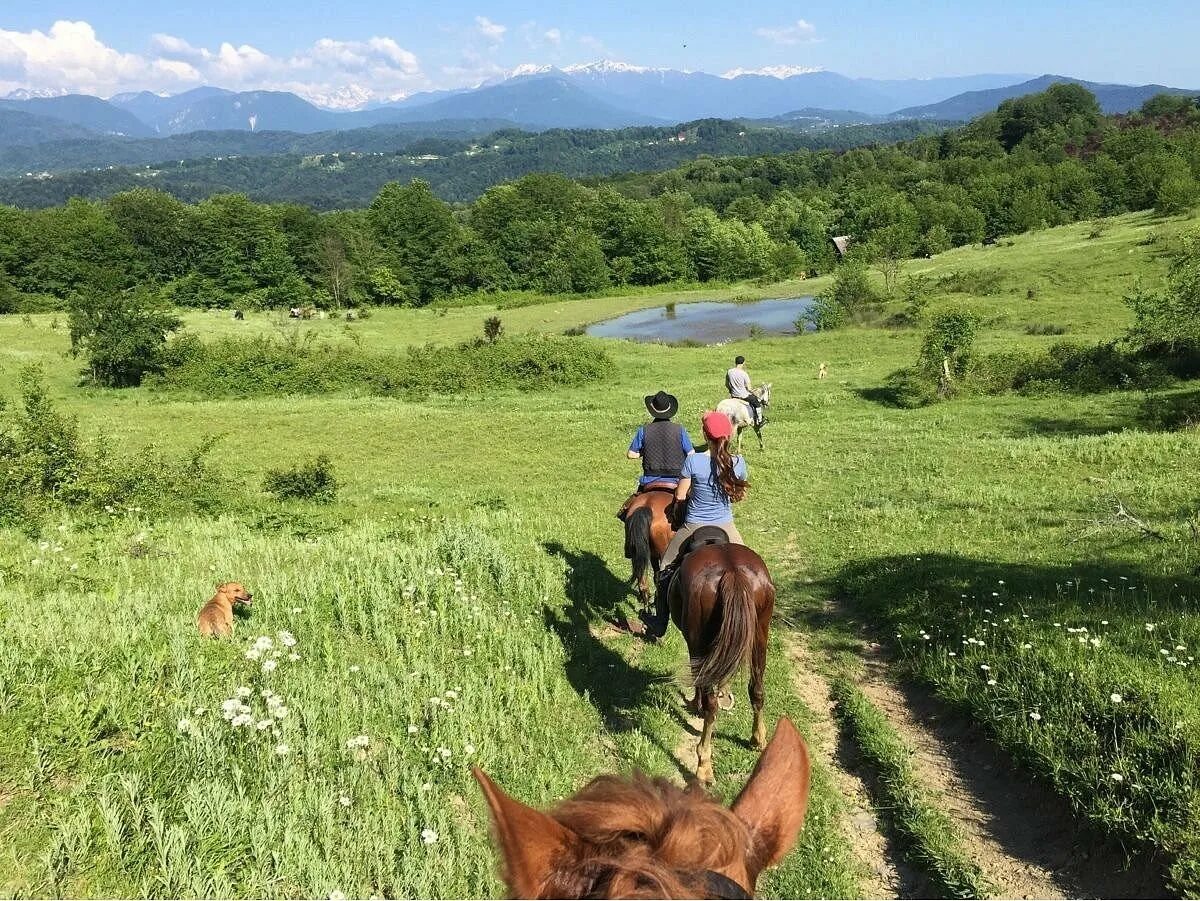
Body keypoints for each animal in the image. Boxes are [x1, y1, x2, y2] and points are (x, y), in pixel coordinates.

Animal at [667, 539, 777, 787]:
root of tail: (732, 571)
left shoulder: (696, 646)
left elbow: (699, 679)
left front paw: (695, 704)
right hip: (760, 633)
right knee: (757, 691)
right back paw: (758, 738)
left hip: (700, 640)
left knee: (711, 705)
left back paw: (704, 766)